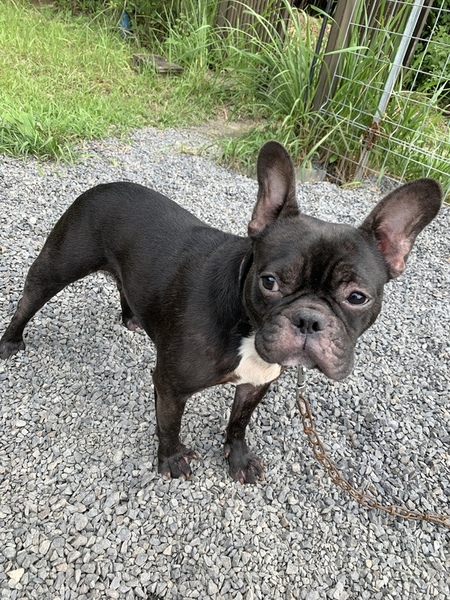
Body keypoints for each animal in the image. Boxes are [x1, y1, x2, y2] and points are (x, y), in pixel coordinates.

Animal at [0, 141, 441, 483]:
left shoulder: (256, 383)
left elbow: (238, 422)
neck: (245, 325)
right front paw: (171, 459)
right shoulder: (170, 385)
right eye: (270, 282)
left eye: (357, 297)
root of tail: (104, 186)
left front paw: (238, 459)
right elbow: (169, 424)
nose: (309, 319)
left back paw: (131, 318)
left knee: (123, 285)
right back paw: (10, 342)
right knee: (28, 300)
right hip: (58, 266)